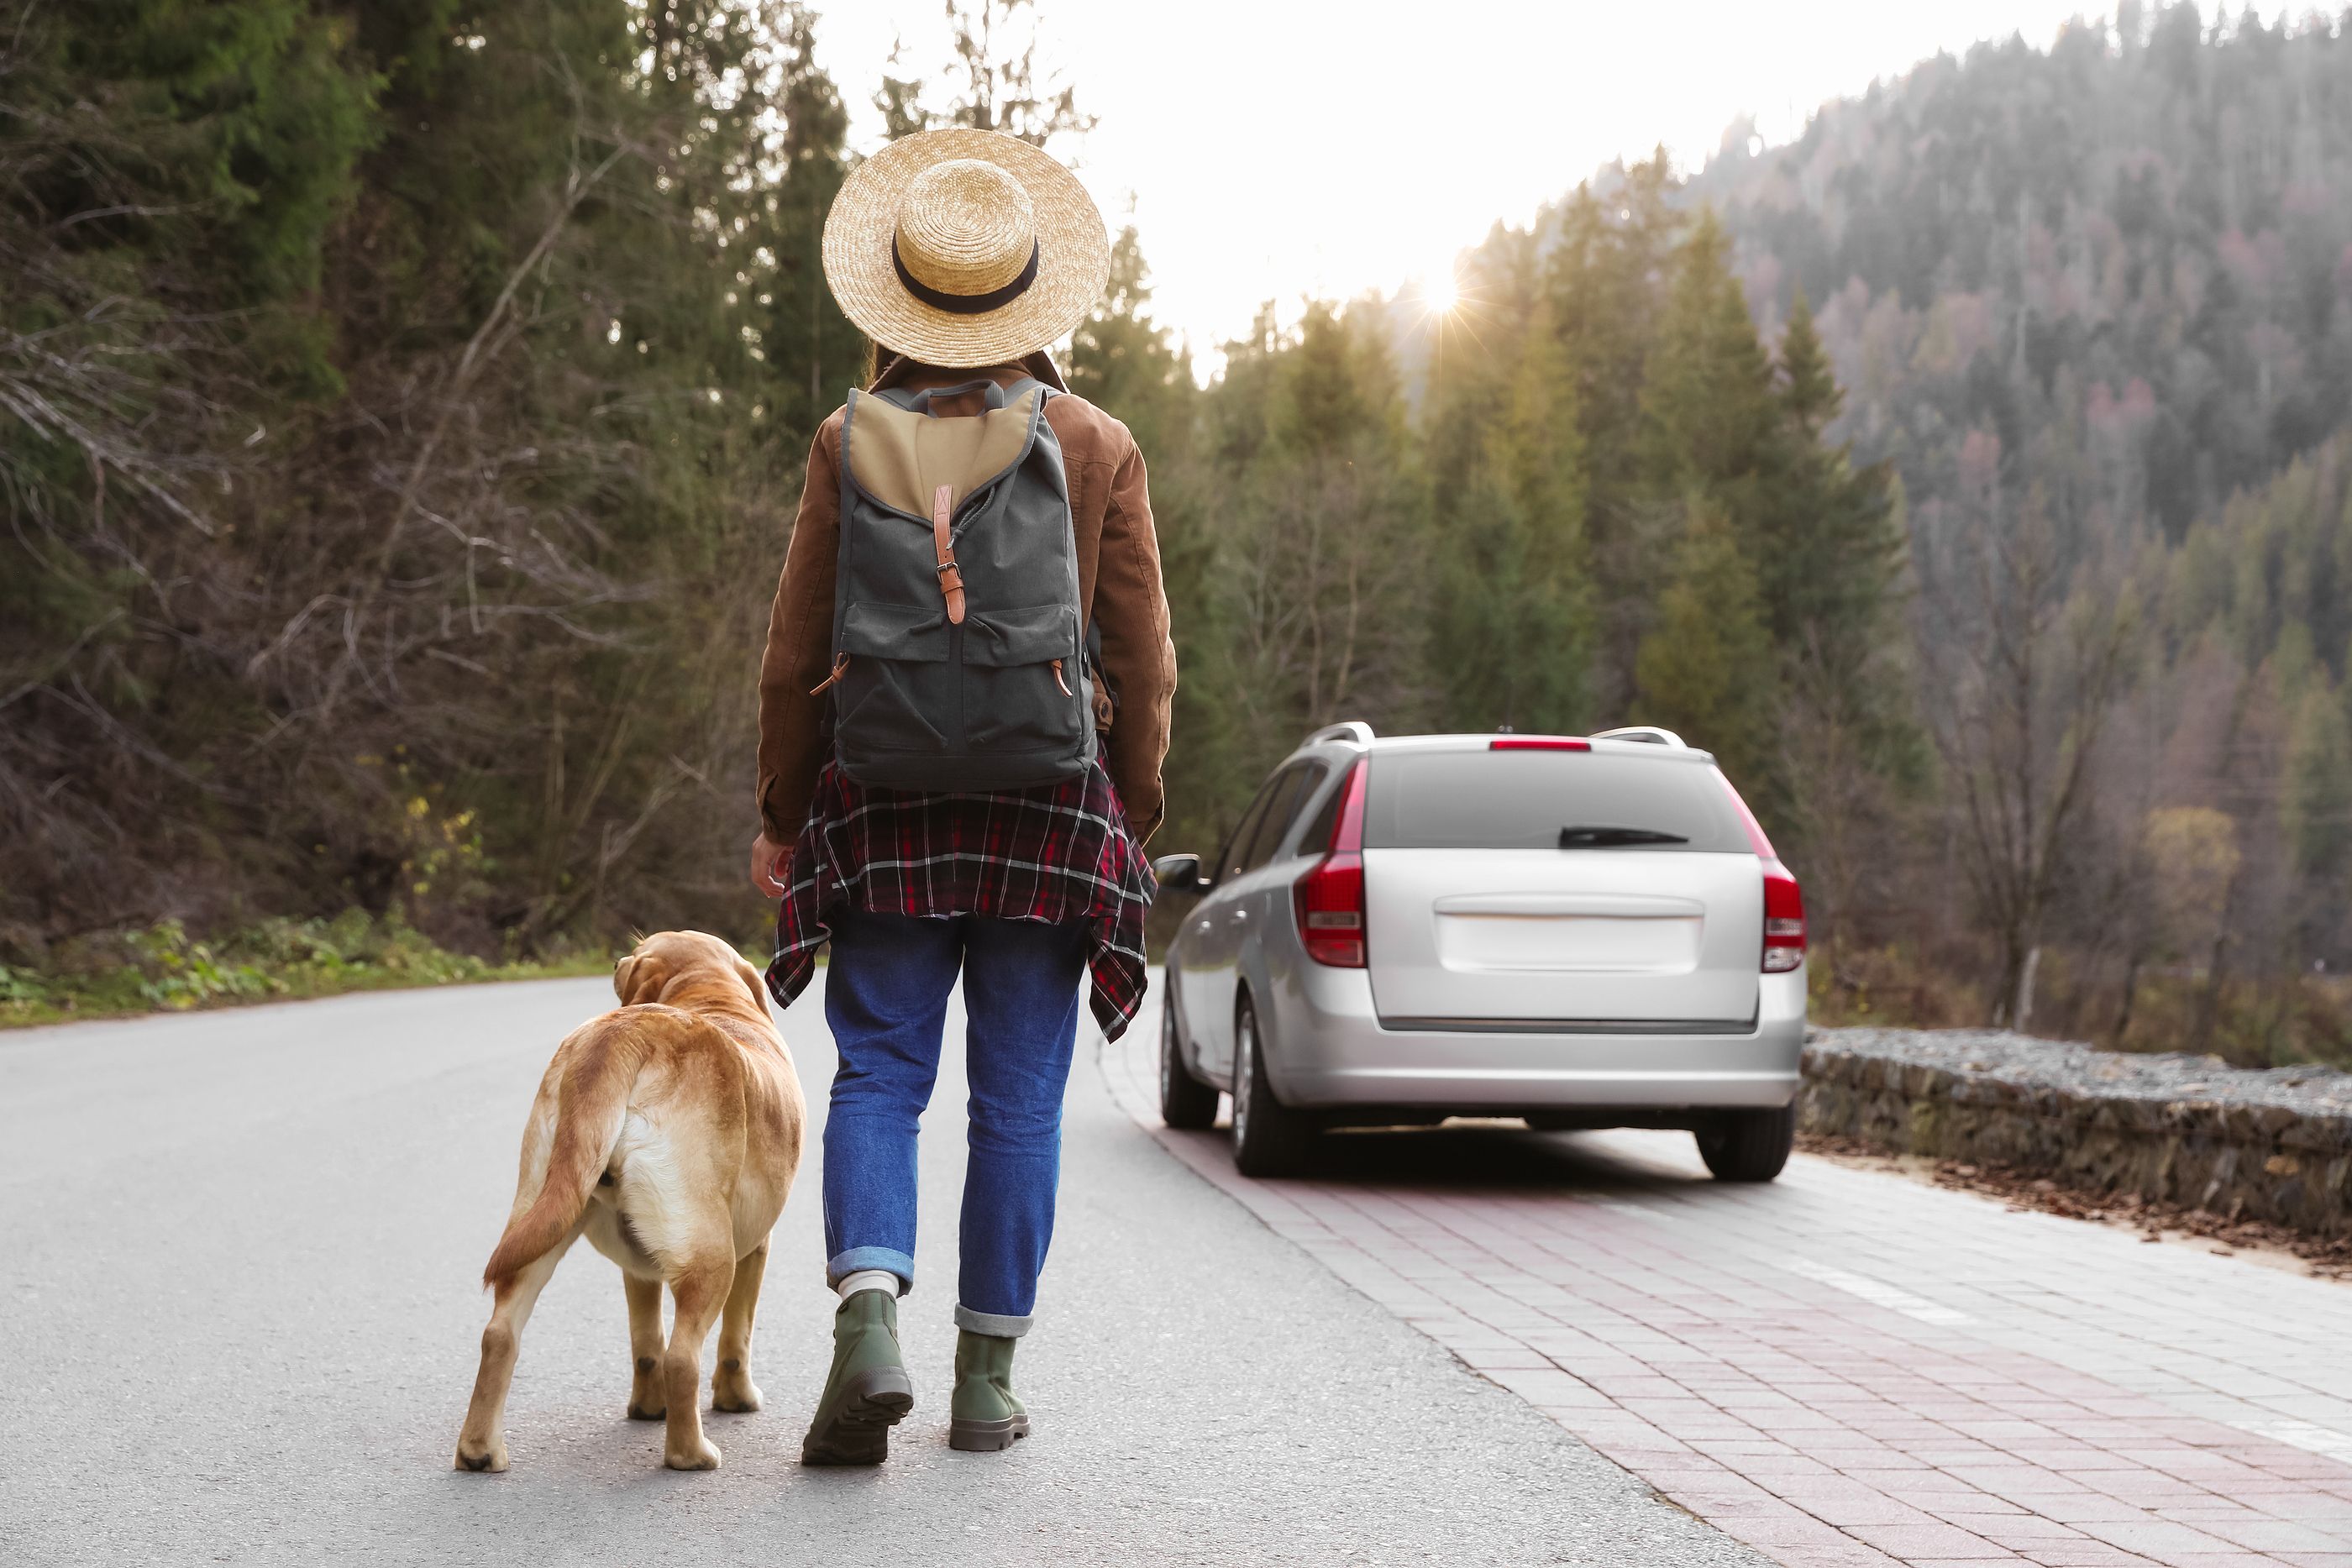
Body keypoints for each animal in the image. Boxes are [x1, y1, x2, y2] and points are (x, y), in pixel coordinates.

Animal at [456, 931, 809, 1476]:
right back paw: (692, 1454)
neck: (708, 995)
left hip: (539, 1218)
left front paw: (647, 1408)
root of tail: (625, 1034)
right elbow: (737, 1337)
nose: (618, 961)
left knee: (499, 1334)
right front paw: (738, 1398)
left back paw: (479, 1450)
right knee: (684, 1357)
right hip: (713, 1257)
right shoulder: (757, 1249)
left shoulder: (638, 1268)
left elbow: (646, 1343)